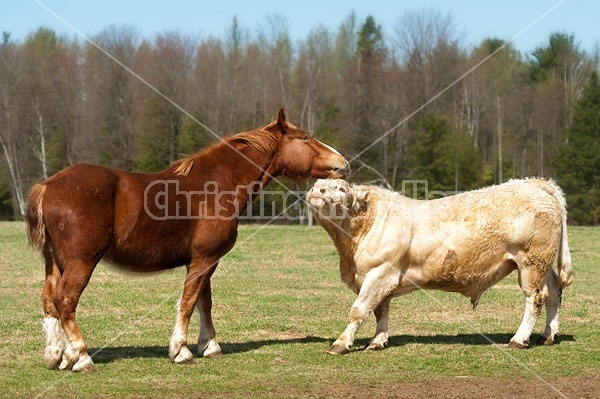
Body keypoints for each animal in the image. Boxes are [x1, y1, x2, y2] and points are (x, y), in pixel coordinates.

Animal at [25, 108, 350, 372]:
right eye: (304, 137)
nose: (343, 163)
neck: (214, 185)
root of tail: (48, 184)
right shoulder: (204, 259)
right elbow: (189, 302)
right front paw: (181, 351)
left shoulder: (205, 260)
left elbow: (205, 301)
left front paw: (209, 345)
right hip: (81, 262)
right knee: (65, 300)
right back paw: (81, 357)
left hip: (55, 262)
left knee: (49, 301)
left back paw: (57, 356)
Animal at [308, 180, 576, 354]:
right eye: (318, 183)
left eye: (341, 188)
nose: (316, 190)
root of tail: (536, 183)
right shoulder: (377, 279)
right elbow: (380, 311)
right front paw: (377, 341)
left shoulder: (380, 273)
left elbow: (359, 310)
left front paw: (341, 343)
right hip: (542, 263)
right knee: (554, 292)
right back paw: (547, 336)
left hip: (530, 262)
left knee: (535, 298)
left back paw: (519, 339)